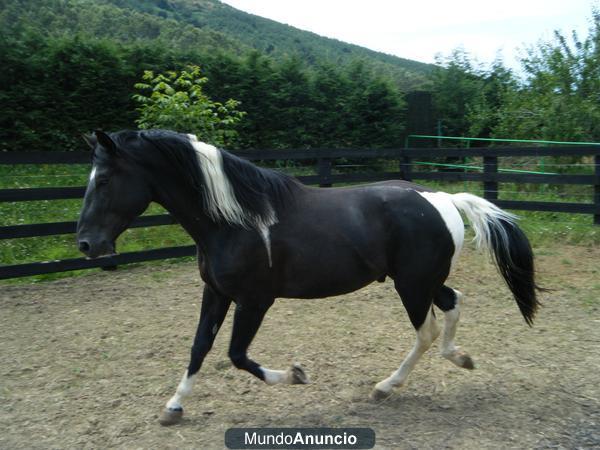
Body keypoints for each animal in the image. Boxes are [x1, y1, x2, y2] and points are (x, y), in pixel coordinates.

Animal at [77, 129, 540, 426]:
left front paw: (296, 375)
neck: (234, 220)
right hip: (420, 281)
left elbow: (237, 355)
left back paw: (385, 387)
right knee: (454, 302)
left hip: (411, 286)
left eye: (105, 179)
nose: (85, 243)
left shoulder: (254, 301)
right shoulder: (216, 293)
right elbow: (199, 348)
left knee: (425, 331)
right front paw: (173, 408)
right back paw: (459, 358)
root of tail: (442, 198)